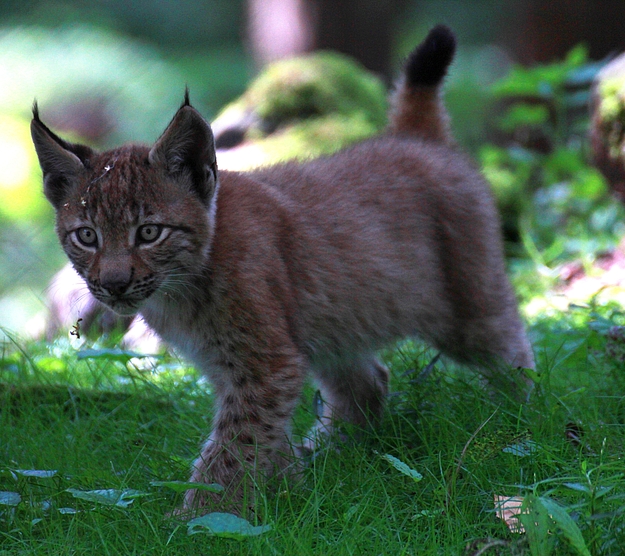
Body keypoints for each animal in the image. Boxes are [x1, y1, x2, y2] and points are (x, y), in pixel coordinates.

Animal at [31, 26, 532, 512]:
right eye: (87, 236)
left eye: (149, 233)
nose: (114, 285)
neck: (181, 284)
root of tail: (415, 139)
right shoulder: (239, 364)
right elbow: (260, 441)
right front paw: (286, 493)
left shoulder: (265, 364)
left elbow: (233, 448)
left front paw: (199, 518)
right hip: (331, 324)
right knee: (371, 382)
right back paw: (331, 457)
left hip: (468, 304)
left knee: (514, 353)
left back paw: (520, 426)